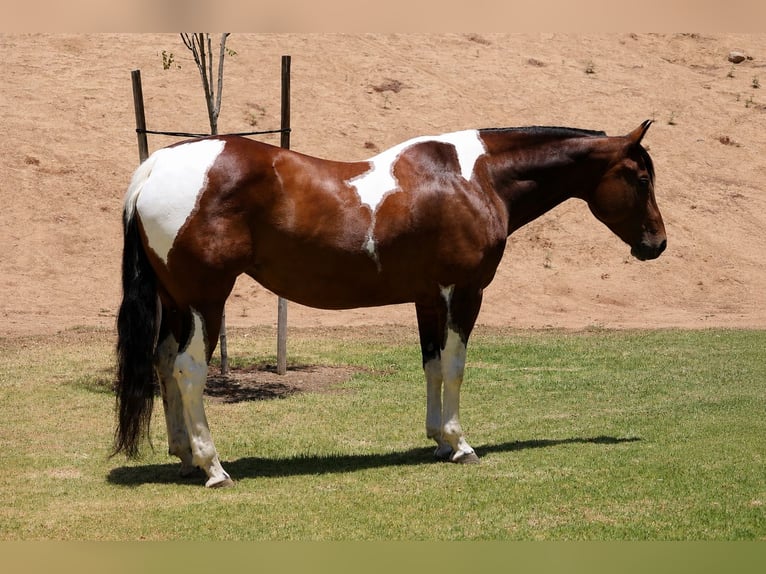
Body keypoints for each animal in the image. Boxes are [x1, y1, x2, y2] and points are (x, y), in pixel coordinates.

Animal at [114, 120, 666, 487]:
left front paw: (439, 440)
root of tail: (155, 167)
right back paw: (213, 466)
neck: (477, 178)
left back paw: (185, 455)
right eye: (641, 178)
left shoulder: (428, 298)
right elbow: (456, 366)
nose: (657, 244)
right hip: (206, 299)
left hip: (177, 302)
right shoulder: (464, 293)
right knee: (187, 369)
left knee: (164, 362)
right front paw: (461, 444)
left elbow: (433, 365)